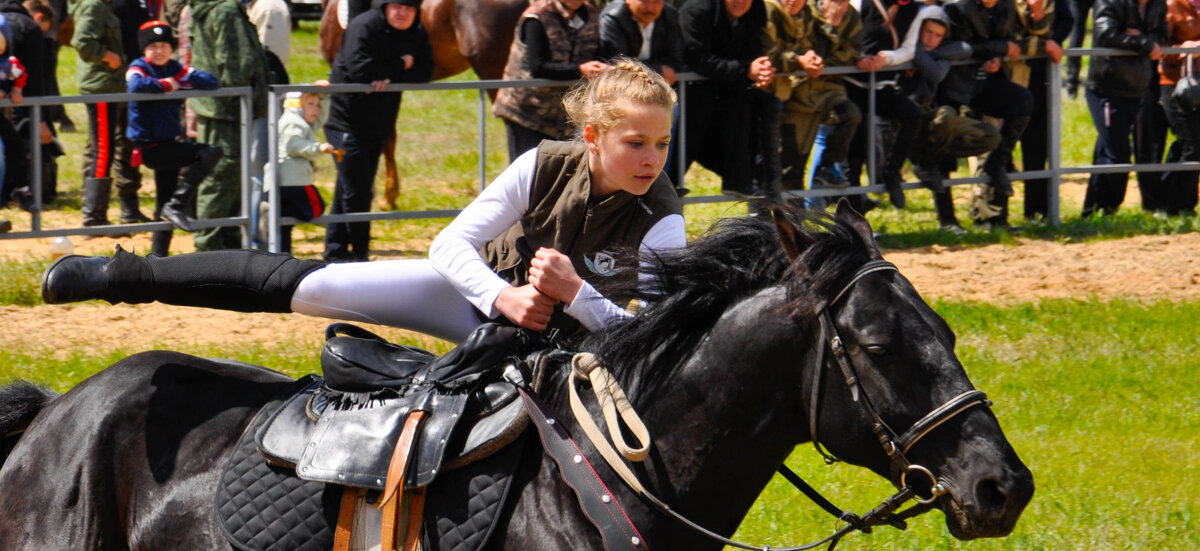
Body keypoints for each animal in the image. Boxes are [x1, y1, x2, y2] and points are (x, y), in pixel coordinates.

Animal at [0, 205, 1032, 549]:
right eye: (880, 344)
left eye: (944, 330)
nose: (1004, 484)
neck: (614, 482)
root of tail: (53, 416)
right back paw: (74, 269)